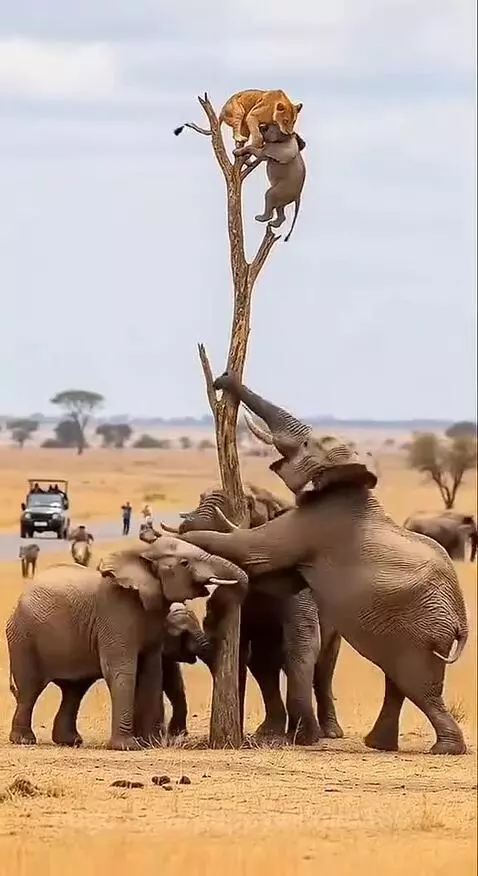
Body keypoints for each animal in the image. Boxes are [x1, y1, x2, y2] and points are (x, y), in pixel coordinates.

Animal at [6, 536, 246, 751]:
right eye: (185, 563)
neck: (143, 554)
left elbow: (152, 672)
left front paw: (150, 744)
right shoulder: (116, 613)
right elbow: (122, 670)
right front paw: (128, 747)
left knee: (74, 689)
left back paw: (70, 741)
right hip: (23, 638)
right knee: (31, 688)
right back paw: (24, 740)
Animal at [163, 487, 342, 743]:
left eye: (247, 503)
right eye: (200, 498)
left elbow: (301, 641)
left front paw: (307, 739)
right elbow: (236, 649)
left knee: (323, 669)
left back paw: (329, 732)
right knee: (263, 663)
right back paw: (270, 733)